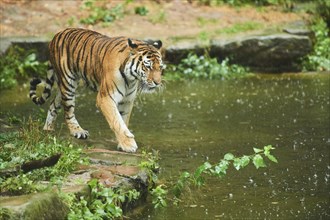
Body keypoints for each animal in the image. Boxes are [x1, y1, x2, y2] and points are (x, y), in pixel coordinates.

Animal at [30, 27, 164, 152]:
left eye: (160, 67)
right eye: (148, 67)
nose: (158, 83)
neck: (131, 79)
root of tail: (57, 34)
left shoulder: (127, 100)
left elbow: (123, 120)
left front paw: (122, 142)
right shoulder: (105, 98)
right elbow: (117, 121)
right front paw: (128, 144)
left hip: (63, 86)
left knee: (53, 104)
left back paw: (48, 129)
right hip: (68, 83)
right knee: (68, 112)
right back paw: (77, 131)